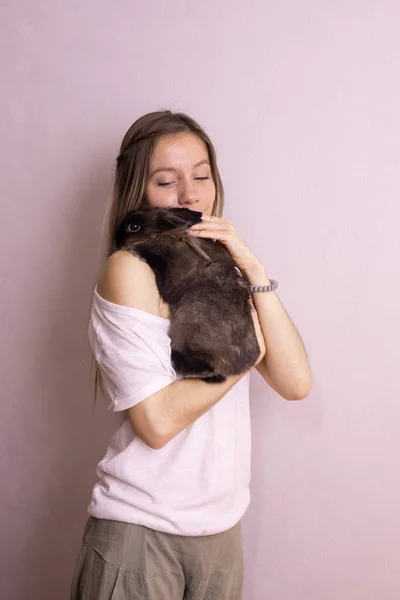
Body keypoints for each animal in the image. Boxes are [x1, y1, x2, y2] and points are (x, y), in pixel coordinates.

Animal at [114, 209, 260, 382]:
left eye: (134, 227)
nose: (116, 240)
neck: (164, 234)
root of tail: (238, 367)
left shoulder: (174, 279)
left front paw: (139, 251)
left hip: (190, 320)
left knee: (207, 368)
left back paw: (175, 358)